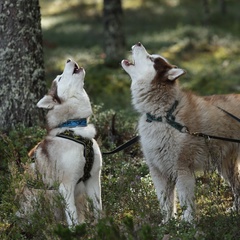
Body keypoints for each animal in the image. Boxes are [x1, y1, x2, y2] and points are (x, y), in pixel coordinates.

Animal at [27, 59, 101, 226]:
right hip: (44, 197)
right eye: (60, 78)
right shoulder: (66, 186)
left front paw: (107, 225)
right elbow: (72, 217)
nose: (68, 59)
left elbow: (99, 209)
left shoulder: (93, 179)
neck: (74, 127)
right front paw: (76, 230)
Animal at [122, 42, 240, 222]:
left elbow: (186, 201)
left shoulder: (182, 169)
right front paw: (167, 223)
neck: (164, 115)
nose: (138, 43)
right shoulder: (159, 171)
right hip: (225, 165)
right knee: (237, 187)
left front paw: (187, 223)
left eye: (151, 59)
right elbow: (165, 203)